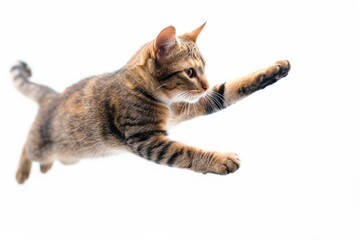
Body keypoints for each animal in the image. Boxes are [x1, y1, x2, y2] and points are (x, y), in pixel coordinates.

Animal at [11, 23, 292, 184]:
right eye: (190, 72)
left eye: (204, 69)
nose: (204, 84)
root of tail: (52, 95)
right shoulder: (147, 139)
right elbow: (186, 152)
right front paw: (219, 159)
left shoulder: (189, 105)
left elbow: (229, 89)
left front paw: (272, 71)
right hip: (43, 145)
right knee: (26, 145)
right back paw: (23, 172)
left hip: (69, 154)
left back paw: (46, 168)